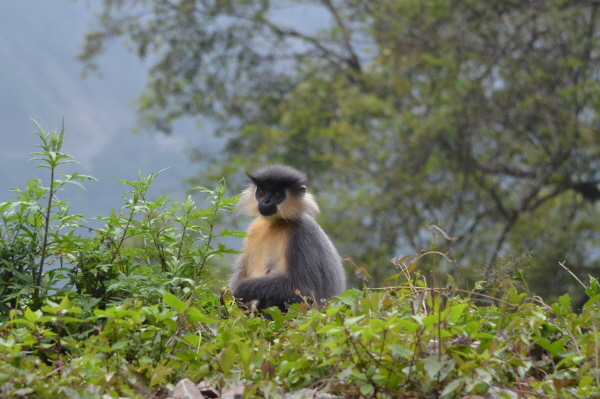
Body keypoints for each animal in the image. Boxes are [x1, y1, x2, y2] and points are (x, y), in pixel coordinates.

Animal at [230, 164, 346, 314]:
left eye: (277, 194)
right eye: (261, 192)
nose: (265, 201)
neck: (276, 224)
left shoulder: (301, 232)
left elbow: (304, 288)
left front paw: (239, 290)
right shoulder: (254, 229)